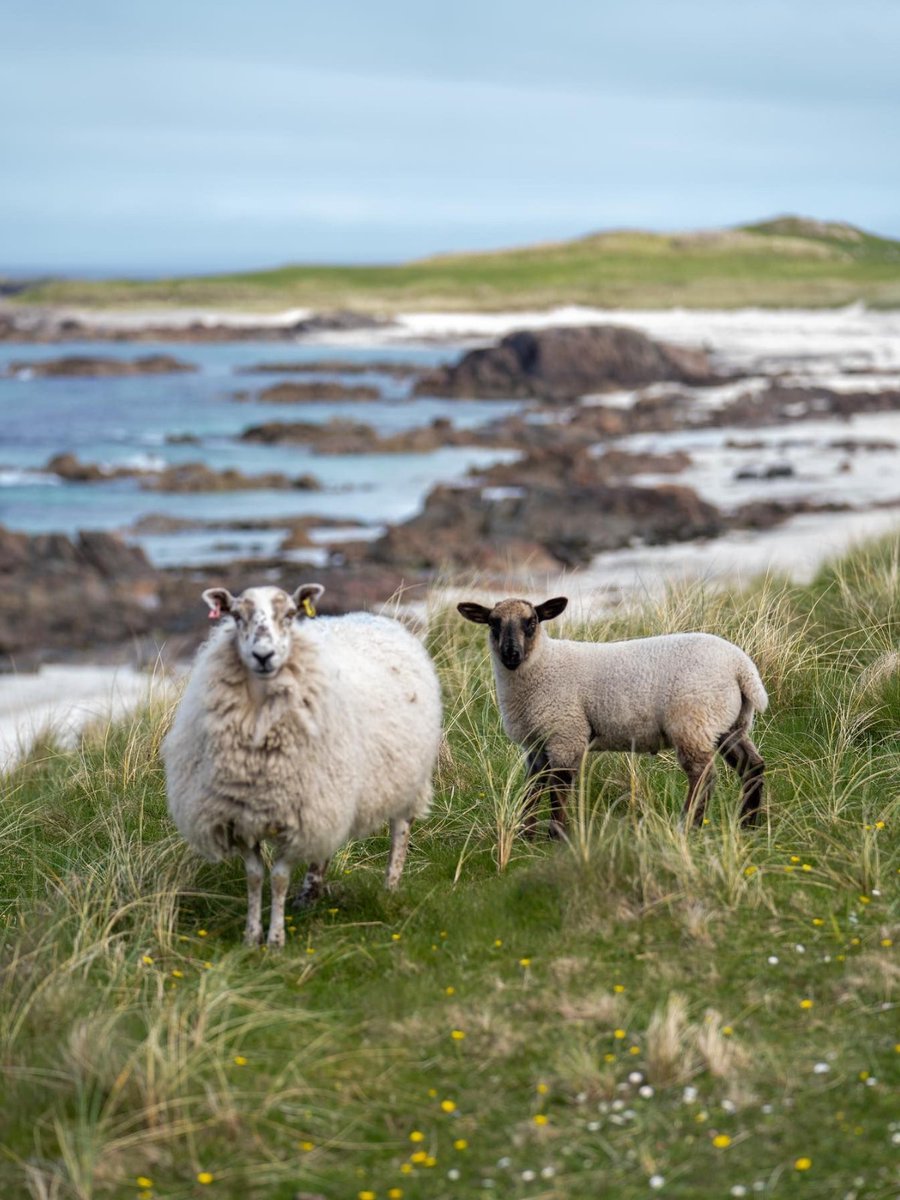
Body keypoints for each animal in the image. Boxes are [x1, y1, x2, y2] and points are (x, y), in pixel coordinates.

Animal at [164, 583, 446, 945]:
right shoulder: (242, 819)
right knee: (324, 848)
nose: (264, 655)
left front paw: (276, 939)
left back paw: (390, 886)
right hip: (331, 796)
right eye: (236, 615)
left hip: (406, 777)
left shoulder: (296, 818)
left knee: (401, 829)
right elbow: (255, 876)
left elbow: (279, 878)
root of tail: (372, 616)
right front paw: (251, 936)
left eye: (289, 615)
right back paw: (309, 895)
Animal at [465, 597, 768, 835]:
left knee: (703, 776)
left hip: (692, 721)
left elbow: (558, 790)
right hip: (727, 724)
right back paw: (747, 824)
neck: (543, 663)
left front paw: (556, 835)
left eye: (532, 622)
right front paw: (526, 835)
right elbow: (533, 787)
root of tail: (742, 667)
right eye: (493, 623)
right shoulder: (537, 743)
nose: (511, 653)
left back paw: (688, 826)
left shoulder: (566, 734)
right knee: (752, 766)